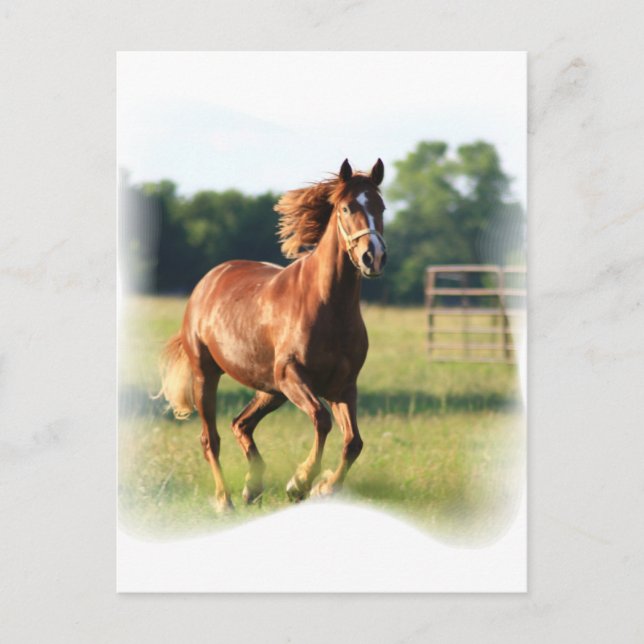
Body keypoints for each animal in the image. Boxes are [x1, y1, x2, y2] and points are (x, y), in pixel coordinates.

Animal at [158, 159, 387, 512]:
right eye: (347, 207)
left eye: (382, 207)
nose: (372, 257)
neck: (327, 306)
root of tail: (208, 281)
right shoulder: (292, 374)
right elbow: (321, 420)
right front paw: (300, 482)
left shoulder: (343, 386)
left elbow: (353, 442)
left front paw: (325, 487)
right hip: (208, 376)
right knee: (211, 439)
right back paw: (225, 500)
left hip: (270, 389)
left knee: (241, 424)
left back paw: (252, 488)